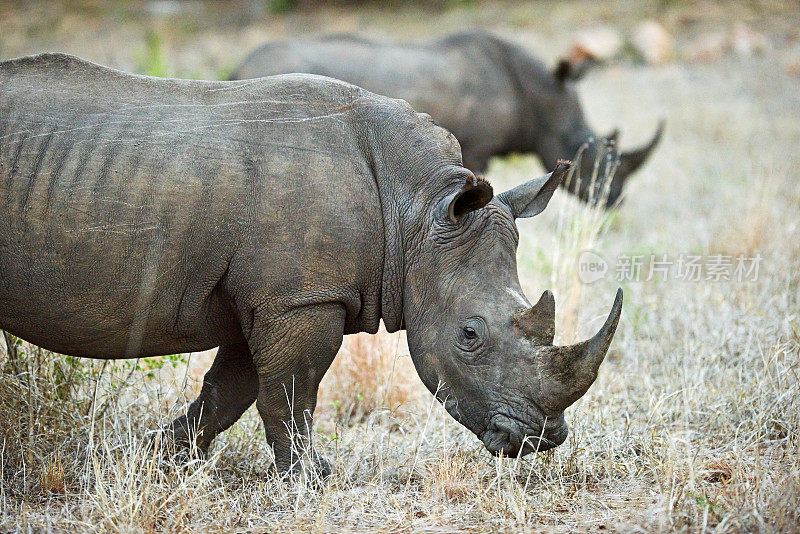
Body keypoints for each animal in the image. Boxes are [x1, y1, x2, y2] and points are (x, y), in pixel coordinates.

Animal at [0, 54, 620, 480]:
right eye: (470, 334)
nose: (539, 440)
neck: (419, 209)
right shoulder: (302, 297)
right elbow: (290, 392)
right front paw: (308, 478)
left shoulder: (274, 295)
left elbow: (231, 390)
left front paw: (155, 457)